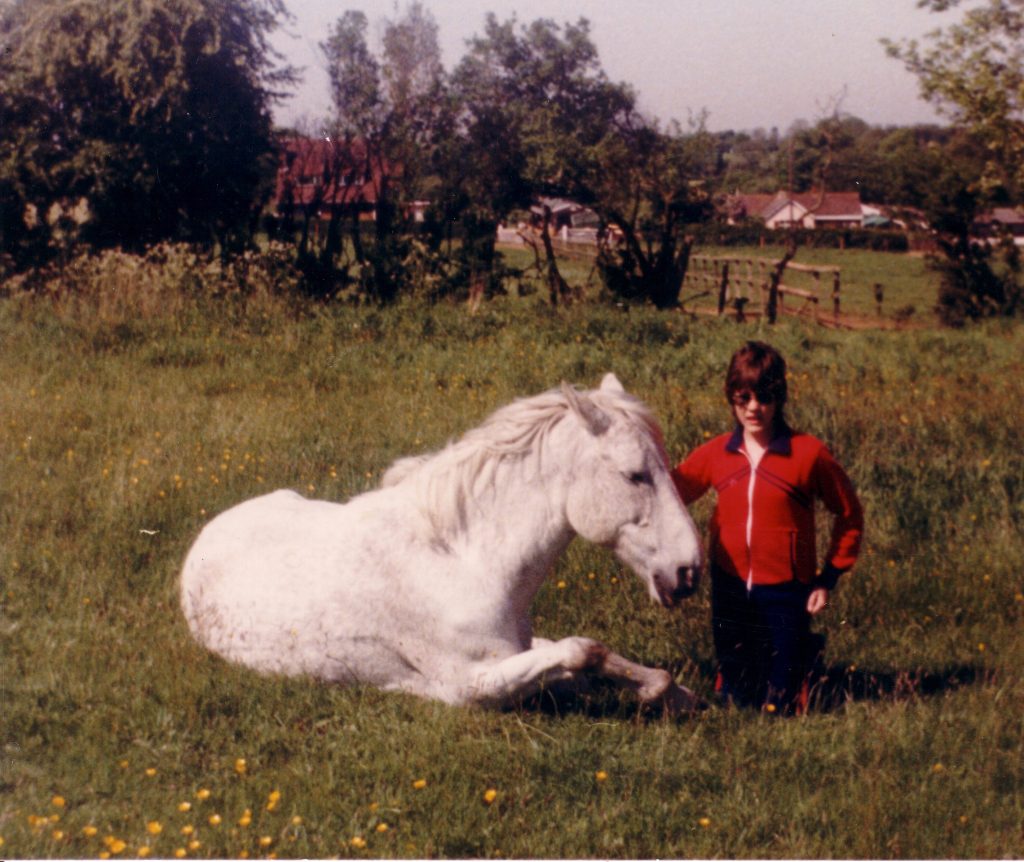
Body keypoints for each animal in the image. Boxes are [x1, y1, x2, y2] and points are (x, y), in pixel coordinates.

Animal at [179, 373, 704, 712]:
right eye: (635, 475)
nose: (688, 571)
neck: (463, 561)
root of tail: (206, 536)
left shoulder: (521, 649)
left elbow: (589, 656)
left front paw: (672, 694)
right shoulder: (469, 686)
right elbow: (582, 652)